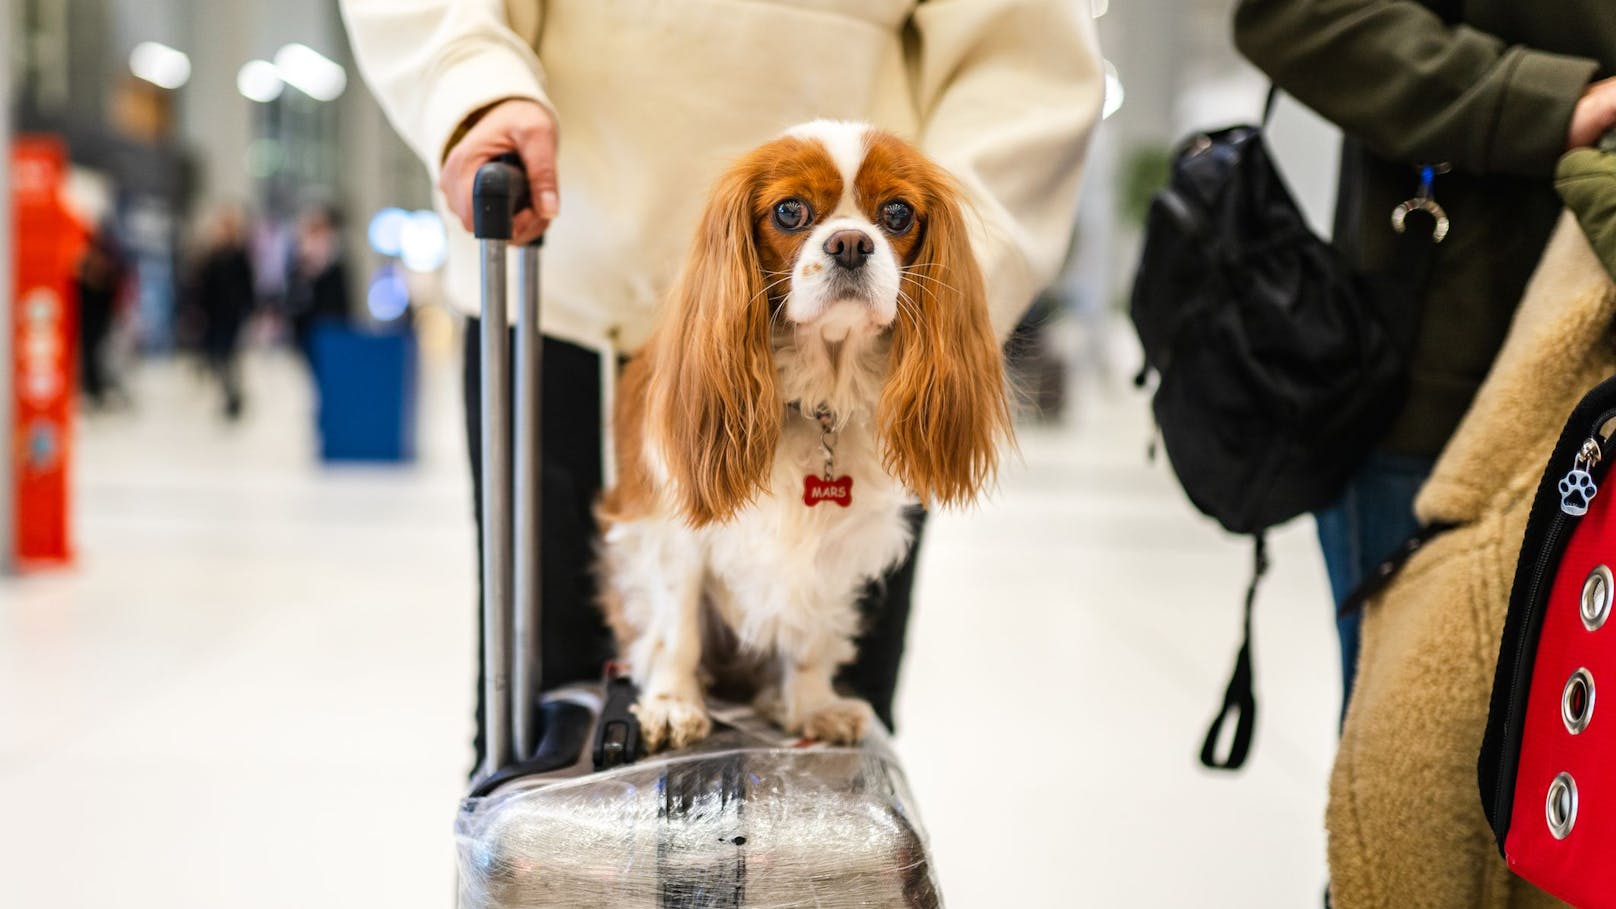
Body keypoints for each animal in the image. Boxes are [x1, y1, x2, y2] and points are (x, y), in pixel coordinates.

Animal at [594, 122, 1008, 750]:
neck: (820, 397)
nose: (850, 243)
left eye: (896, 213)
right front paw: (671, 703)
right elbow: (676, 628)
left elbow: (811, 633)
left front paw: (812, 706)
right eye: (790, 211)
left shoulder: (836, 543)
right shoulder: (672, 528)